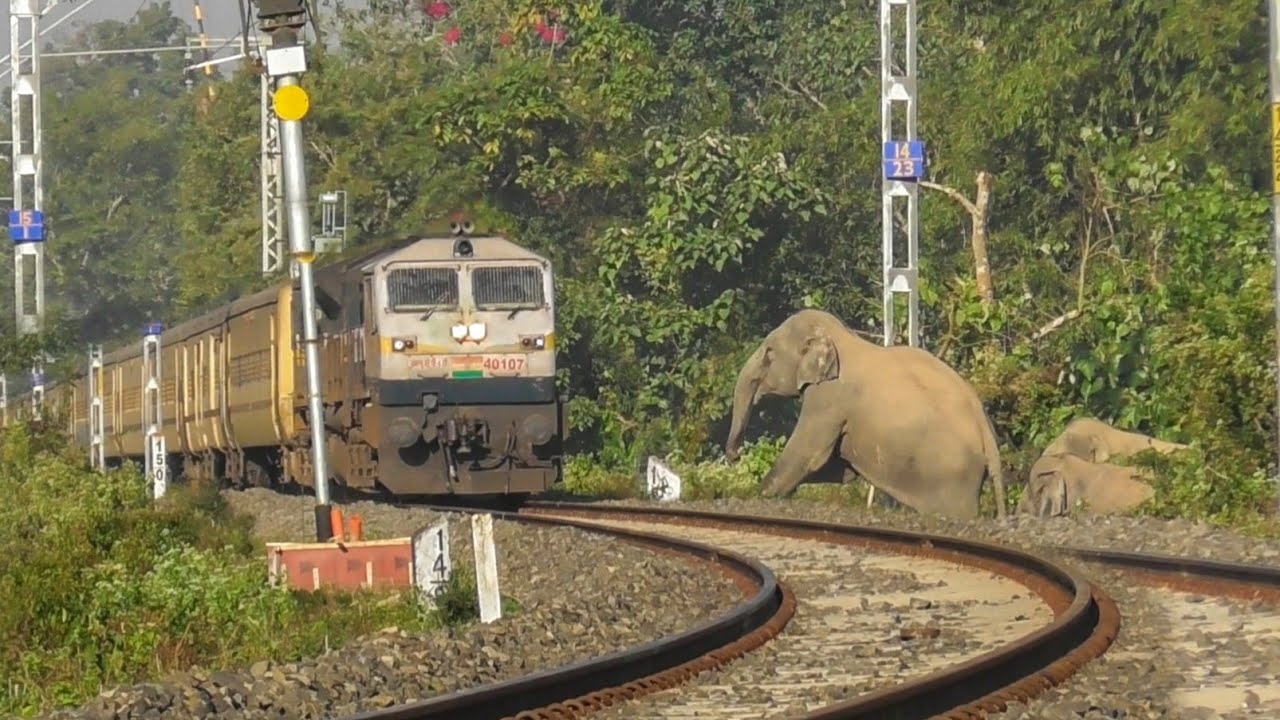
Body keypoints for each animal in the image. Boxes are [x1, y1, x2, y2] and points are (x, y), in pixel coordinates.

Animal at [723, 309, 1007, 520]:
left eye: (769, 353)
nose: (737, 455)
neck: (840, 336)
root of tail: (989, 439)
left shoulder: (829, 398)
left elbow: (810, 454)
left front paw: (758, 495)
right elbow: (837, 465)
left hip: (953, 478)